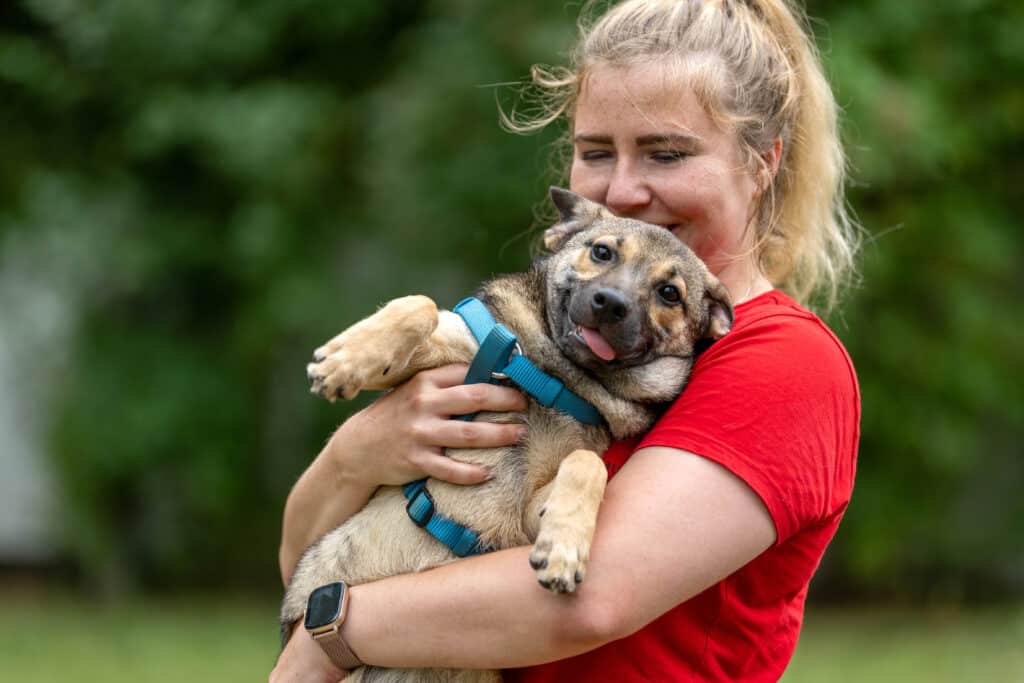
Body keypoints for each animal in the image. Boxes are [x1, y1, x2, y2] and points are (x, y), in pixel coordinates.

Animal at [276, 188, 733, 683]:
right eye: (601, 252)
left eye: (670, 293)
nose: (611, 304)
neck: (563, 375)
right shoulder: (440, 359)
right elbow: (417, 305)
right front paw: (345, 362)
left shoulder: (529, 514)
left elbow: (587, 464)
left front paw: (564, 547)